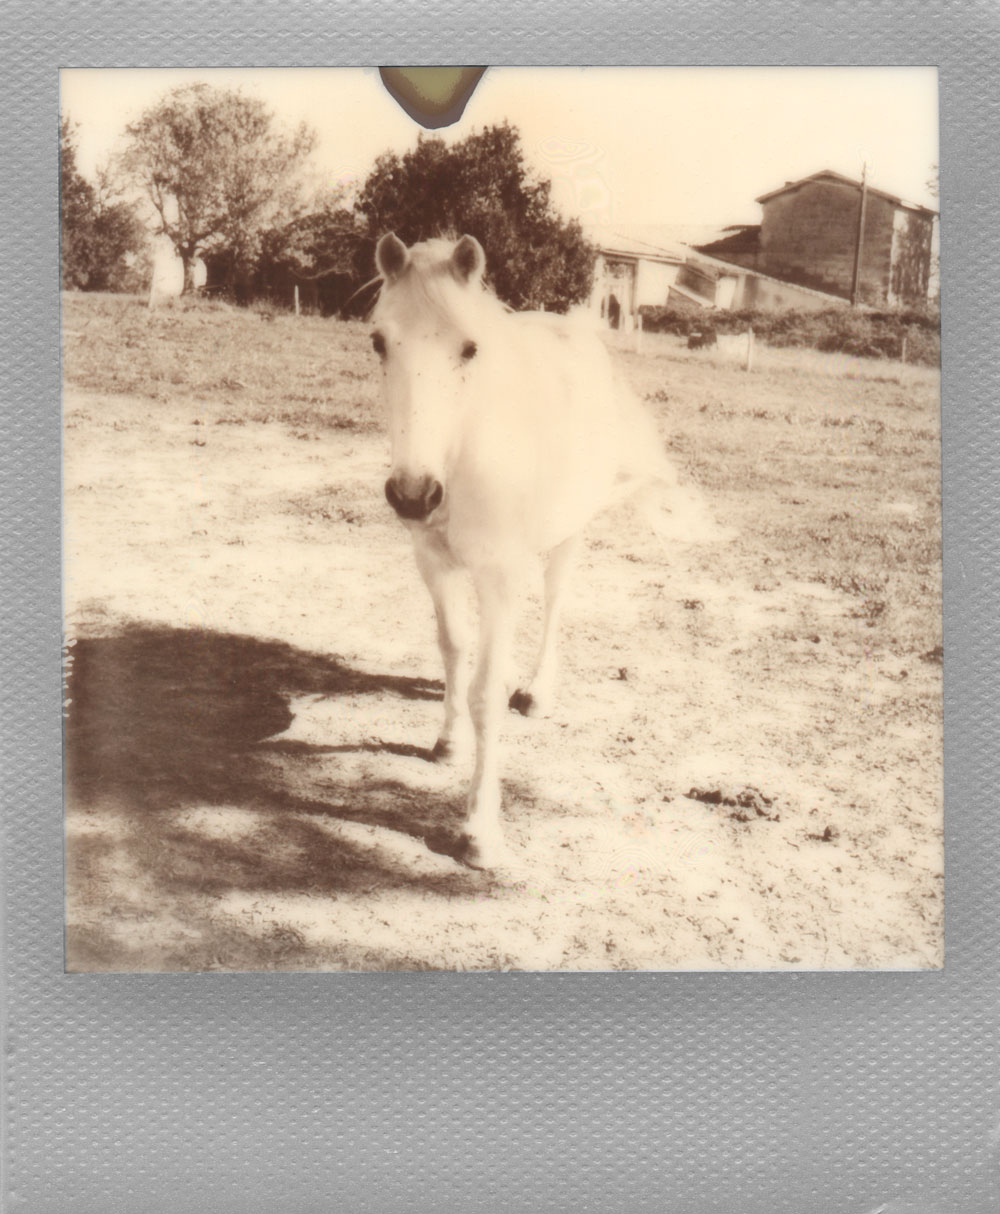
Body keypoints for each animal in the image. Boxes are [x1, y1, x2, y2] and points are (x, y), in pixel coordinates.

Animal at [371, 231, 713, 869]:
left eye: (470, 349)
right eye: (379, 341)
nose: (413, 494)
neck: (463, 455)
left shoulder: (499, 576)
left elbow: (485, 694)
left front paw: (479, 831)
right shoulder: (435, 564)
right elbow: (454, 650)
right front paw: (449, 740)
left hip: (568, 534)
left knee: (555, 602)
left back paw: (534, 691)